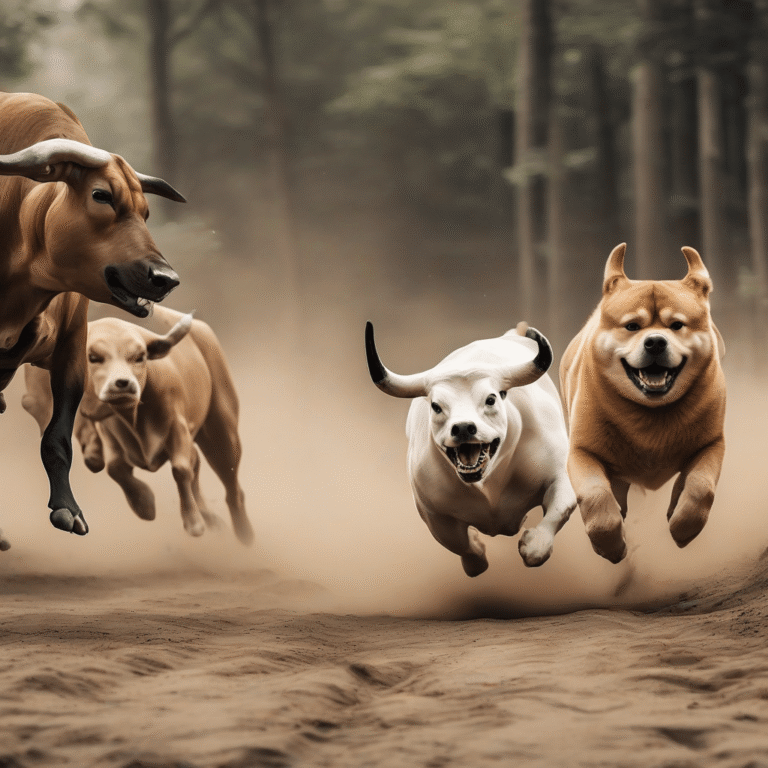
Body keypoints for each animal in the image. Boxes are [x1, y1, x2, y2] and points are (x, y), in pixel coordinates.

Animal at [0, 91, 185, 549]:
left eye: (146, 211)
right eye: (102, 195)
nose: (165, 279)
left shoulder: (72, 350)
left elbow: (58, 439)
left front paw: (68, 508)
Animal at [23, 306, 255, 545]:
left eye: (140, 356)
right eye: (93, 357)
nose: (123, 383)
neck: (135, 418)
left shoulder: (178, 427)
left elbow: (181, 469)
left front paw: (194, 524)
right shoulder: (110, 433)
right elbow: (115, 468)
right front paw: (146, 505)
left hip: (221, 428)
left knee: (231, 484)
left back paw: (244, 533)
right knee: (197, 465)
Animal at [365, 322, 577, 577]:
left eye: (491, 399)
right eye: (436, 406)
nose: (464, 428)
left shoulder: (560, 474)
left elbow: (559, 510)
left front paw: (534, 544)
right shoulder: (433, 512)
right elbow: (460, 545)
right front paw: (476, 551)